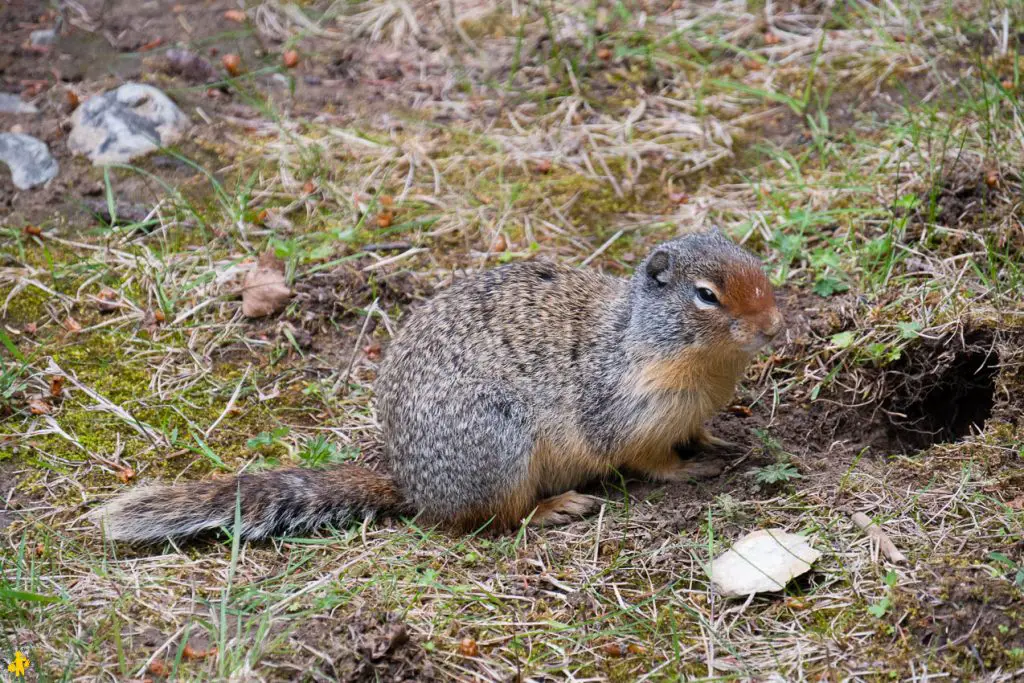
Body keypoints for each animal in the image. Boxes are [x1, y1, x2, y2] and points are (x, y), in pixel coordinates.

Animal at [94, 232, 782, 540]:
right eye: (706, 295)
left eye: (757, 261)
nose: (775, 326)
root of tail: (412, 486)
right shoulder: (630, 410)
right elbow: (652, 459)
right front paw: (690, 469)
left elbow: (700, 431)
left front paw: (719, 441)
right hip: (501, 447)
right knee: (495, 519)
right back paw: (557, 506)